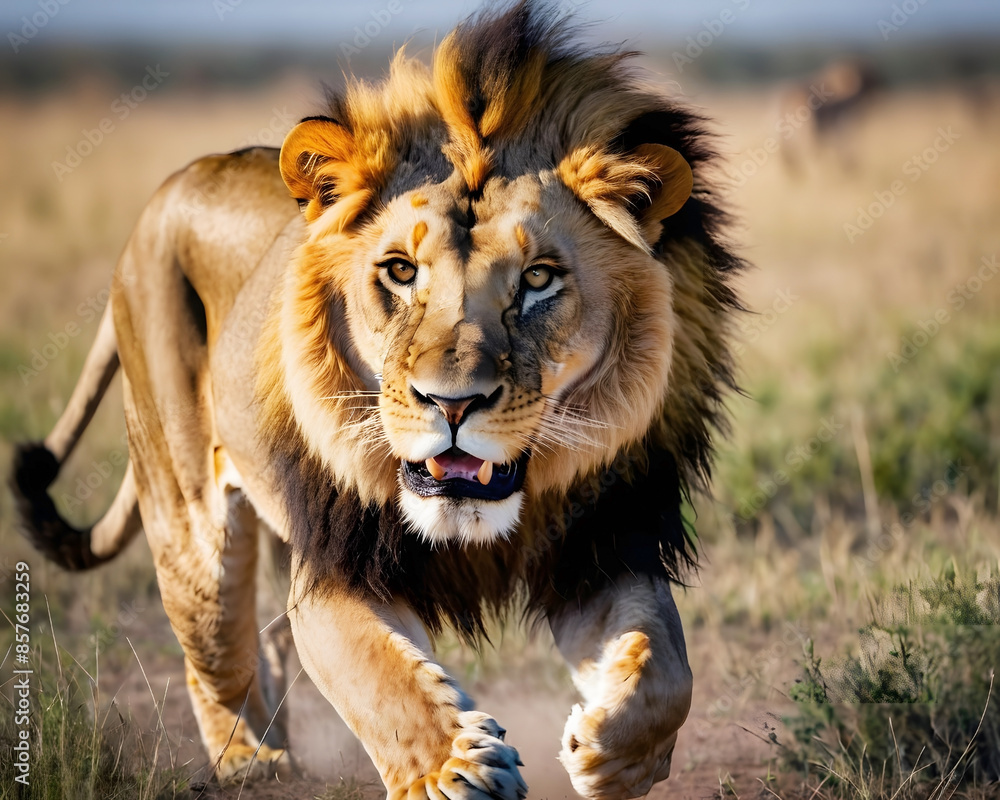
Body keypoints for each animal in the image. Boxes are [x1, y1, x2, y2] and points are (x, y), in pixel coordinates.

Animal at [10, 4, 742, 798]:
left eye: (539, 279)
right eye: (399, 270)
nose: (452, 404)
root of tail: (175, 184)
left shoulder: (602, 542)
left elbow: (666, 665)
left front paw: (612, 751)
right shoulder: (337, 565)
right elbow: (381, 678)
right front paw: (454, 769)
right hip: (189, 521)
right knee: (215, 653)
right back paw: (250, 761)